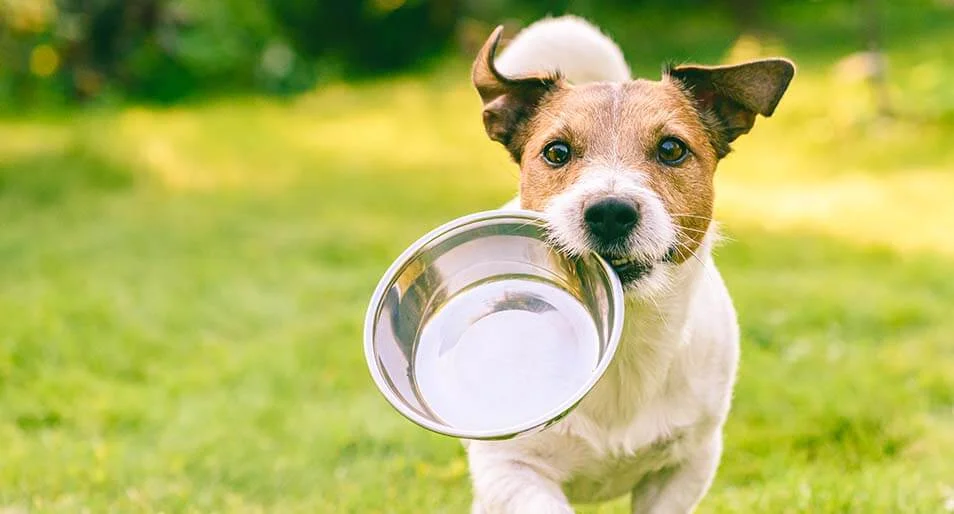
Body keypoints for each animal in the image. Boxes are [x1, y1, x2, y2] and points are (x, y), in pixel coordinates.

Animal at [464, 16, 792, 512]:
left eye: (672, 149)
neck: (625, 342)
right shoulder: (511, 469)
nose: (610, 212)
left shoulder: (687, 465)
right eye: (556, 152)